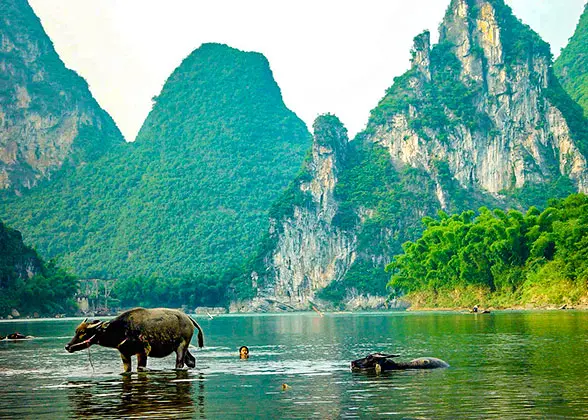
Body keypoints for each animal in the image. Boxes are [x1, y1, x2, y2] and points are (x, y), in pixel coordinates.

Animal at [65, 306, 204, 372]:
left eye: (83, 332)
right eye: (76, 331)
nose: (67, 346)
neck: (122, 330)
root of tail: (188, 318)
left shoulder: (142, 352)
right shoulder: (124, 355)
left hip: (182, 346)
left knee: (179, 363)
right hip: (179, 347)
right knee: (191, 361)